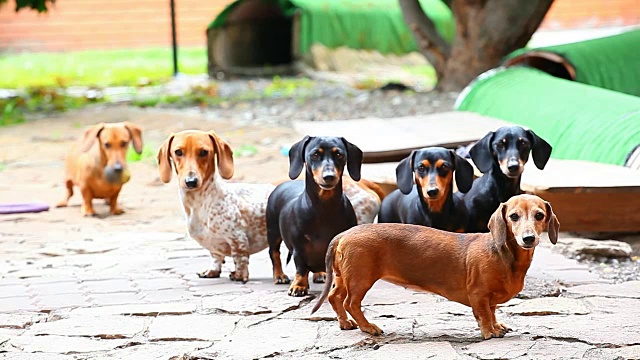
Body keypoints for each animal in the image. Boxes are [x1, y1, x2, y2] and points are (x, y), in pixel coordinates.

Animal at [314, 194, 560, 340]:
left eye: (539, 215)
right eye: (514, 216)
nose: (528, 239)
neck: (505, 255)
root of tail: (344, 234)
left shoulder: (489, 299)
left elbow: (492, 312)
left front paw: (497, 326)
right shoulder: (479, 294)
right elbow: (484, 315)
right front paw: (489, 332)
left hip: (344, 278)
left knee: (335, 297)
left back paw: (345, 323)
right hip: (361, 280)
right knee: (350, 303)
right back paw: (368, 327)